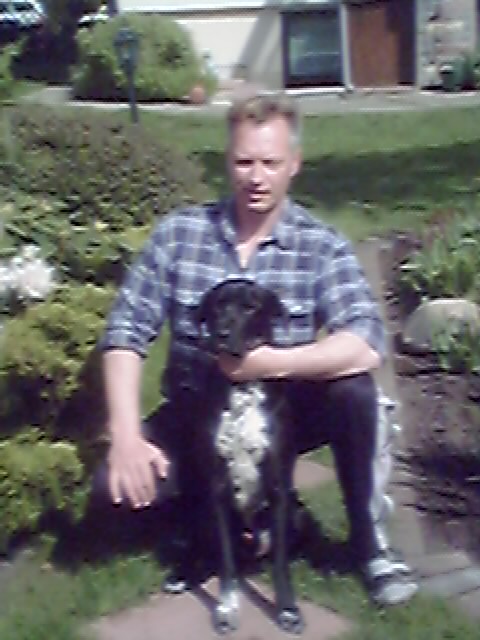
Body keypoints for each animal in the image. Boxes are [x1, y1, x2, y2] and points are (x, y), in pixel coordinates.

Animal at [197, 278, 305, 635]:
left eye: (250, 307)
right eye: (218, 305)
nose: (220, 333)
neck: (241, 386)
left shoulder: (279, 488)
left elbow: (281, 562)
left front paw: (287, 610)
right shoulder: (216, 489)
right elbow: (226, 562)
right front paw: (226, 609)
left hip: (296, 511)